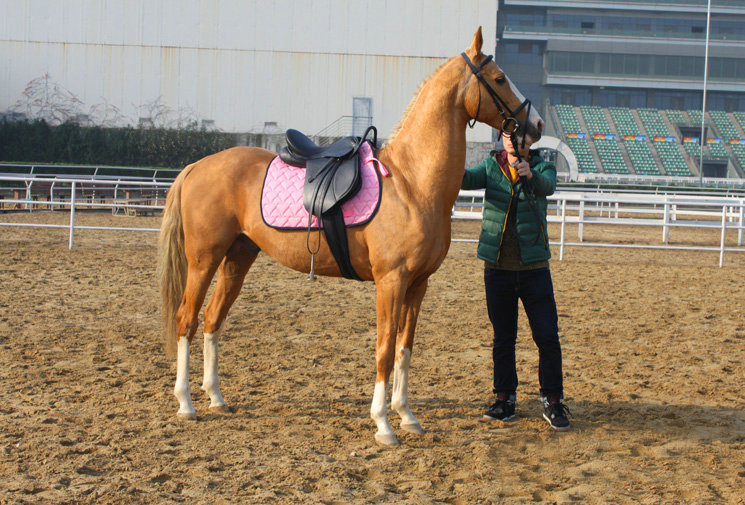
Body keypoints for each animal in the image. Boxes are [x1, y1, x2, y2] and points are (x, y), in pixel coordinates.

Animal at [158, 27, 540, 444]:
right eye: (500, 79)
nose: (535, 125)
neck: (412, 183)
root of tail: (197, 166)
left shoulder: (418, 284)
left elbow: (405, 349)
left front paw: (406, 415)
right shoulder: (391, 281)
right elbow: (385, 349)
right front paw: (383, 424)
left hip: (237, 257)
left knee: (213, 320)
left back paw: (216, 398)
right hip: (204, 259)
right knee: (186, 319)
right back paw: (186, 404)